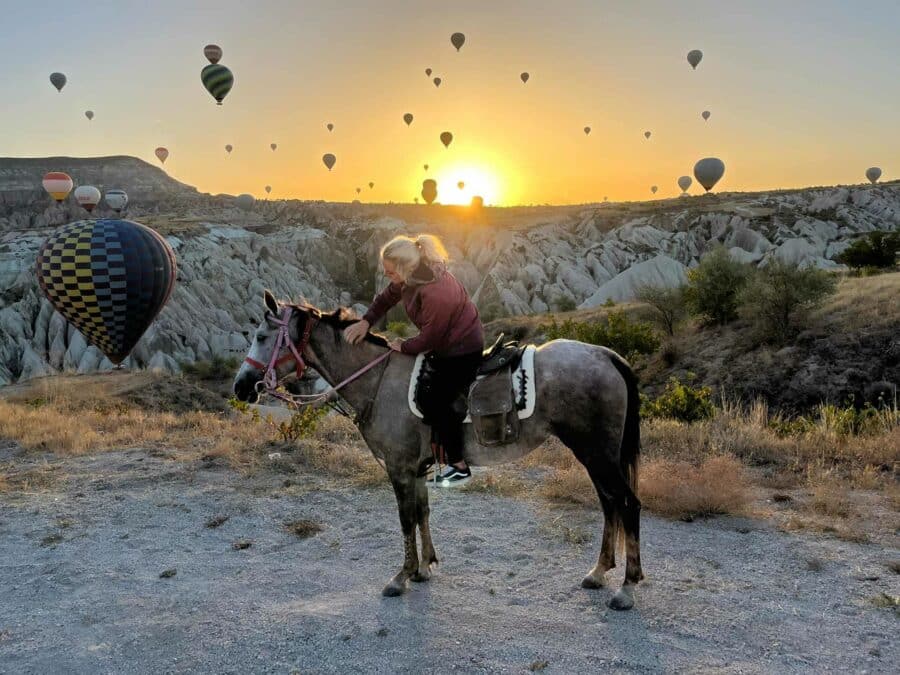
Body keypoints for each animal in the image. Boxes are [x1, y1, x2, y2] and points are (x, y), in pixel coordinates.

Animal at [232, 294, 640, 608]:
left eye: (262, 336)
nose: (241, 386)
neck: (379, 380)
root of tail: (606, 355)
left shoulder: (398, 466)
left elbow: (405, 518)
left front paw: (402, 576)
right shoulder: (417, 467)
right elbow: (422, 512)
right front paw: (424, 568)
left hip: (598, 453)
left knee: (627, 505)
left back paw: (626, 588)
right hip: (594, 454)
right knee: (609, 504)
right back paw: (599, 572)